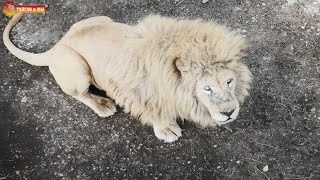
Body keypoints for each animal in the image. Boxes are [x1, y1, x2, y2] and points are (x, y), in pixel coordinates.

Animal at [3, 12, 252, 143]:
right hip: (76, 66)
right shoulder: (130, 90)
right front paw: (166, 129)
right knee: (80, 94)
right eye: (207, 88)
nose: (229, 113)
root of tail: (58, 44)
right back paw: (103, 105)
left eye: (229, 81)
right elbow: (154, 111)